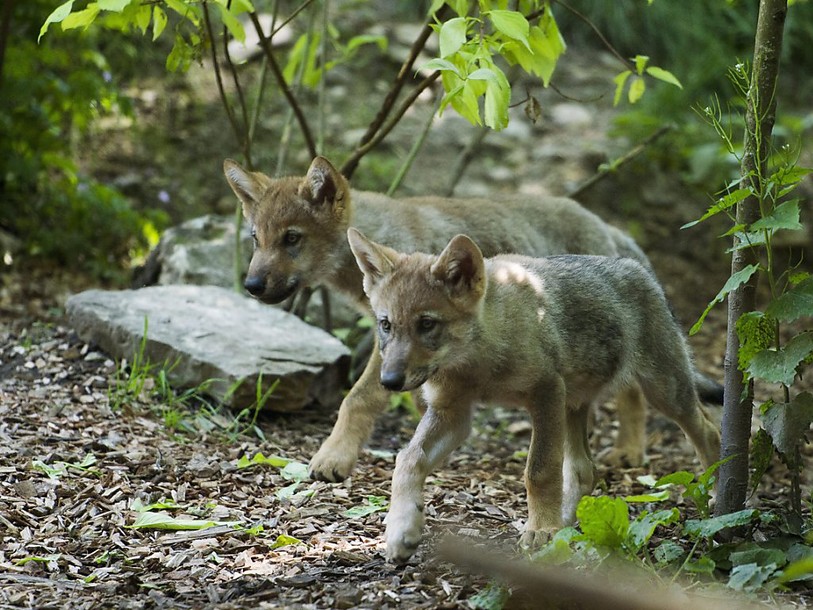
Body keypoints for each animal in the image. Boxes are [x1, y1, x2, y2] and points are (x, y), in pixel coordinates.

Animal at [223, 156, 721, 481]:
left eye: (291, 239)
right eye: (256, 238)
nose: (251, 285)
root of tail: (611, 229)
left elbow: (358, 398)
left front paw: (333, 458)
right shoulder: (395, 339)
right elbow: (400, 398)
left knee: (636, 392)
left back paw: (629, 451)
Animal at [346, 228, 722, 563]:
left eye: (426, 324)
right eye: (386, 325)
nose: (388, 381)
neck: (479, 363)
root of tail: (642, 269)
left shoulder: (544, 394)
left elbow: (538, 470)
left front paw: (540, 530)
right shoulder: (452, 414)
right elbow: (406, 460)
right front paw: (400, 531)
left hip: (664, 393)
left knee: (710, 431)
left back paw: (718, 495)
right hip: (574, 404)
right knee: (584, 469)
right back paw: (566, 523)